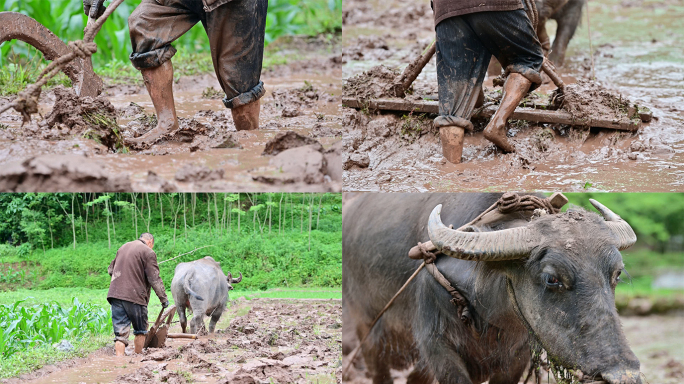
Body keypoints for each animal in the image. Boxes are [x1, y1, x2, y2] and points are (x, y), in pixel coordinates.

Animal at [344, 194, 644, 384]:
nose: (622, 375)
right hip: (368, 331)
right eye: (552, 279)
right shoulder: (436, 344)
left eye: (616, 274)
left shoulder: (517, 355)